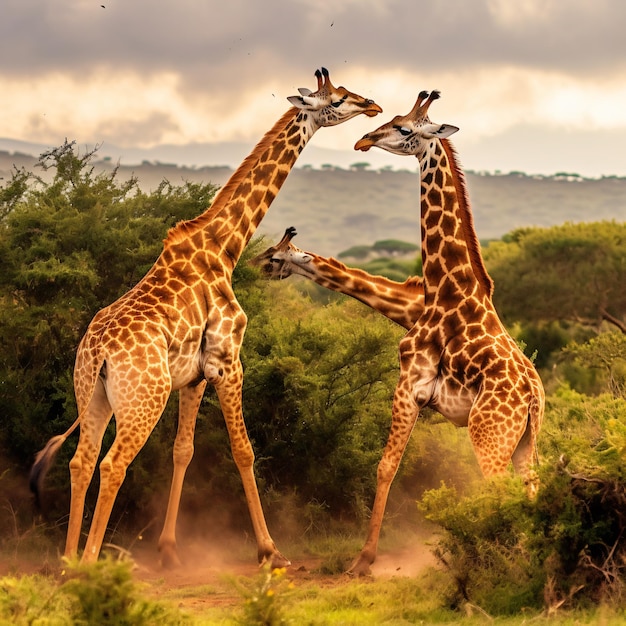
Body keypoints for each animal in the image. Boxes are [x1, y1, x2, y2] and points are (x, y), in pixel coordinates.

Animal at [30, 67, 380, 564]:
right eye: (337, 99)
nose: (372, 106)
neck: (224, 246)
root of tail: (99, 354)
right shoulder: (228, 359)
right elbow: (244, 450)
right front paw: (270, 550)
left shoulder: (193, 376)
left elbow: (184, 449)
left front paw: (170, 548)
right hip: (144, 399)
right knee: (114, 463)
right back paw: (90, 562)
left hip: (91, 393)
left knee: (82, 459)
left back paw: (68, 562)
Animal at [336, 90, 540, 572]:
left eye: (405, 128)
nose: (363, 140)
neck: (446, 285)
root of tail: (531, 398)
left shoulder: (409, 381)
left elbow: (385, 466)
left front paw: (363, 560)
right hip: (526, 442)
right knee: (532, 488)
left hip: (489, 437)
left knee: (499, 489)